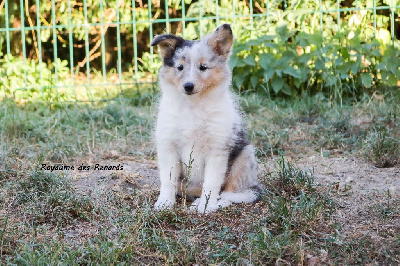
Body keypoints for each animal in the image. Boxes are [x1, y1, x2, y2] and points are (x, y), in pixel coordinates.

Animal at [152, 23, 260, 213]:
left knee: (236, 193)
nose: (188, 86)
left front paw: (205, 207)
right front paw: (164, 203)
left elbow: (211, 183)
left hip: (245, 156)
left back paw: (211, 203)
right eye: (180, 67)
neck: (193, 106)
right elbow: (168, 179)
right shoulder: (168, 146)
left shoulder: (217, 149)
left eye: (203, 67)